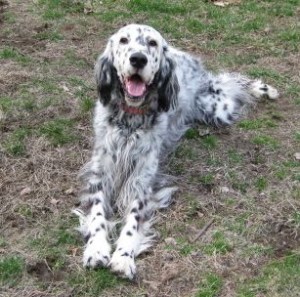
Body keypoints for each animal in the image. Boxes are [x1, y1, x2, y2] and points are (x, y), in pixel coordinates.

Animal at [73, 23, 278, 280]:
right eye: (123, 40)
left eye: (152, 43)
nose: (138, 59)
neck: (130, 121)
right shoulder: (101, 173)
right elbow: (98, 215)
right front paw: (97, 249)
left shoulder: (142, 180)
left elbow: (132, 221)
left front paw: (123, 256)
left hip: (217, 109)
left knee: (228, 81)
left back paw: (260, 88)